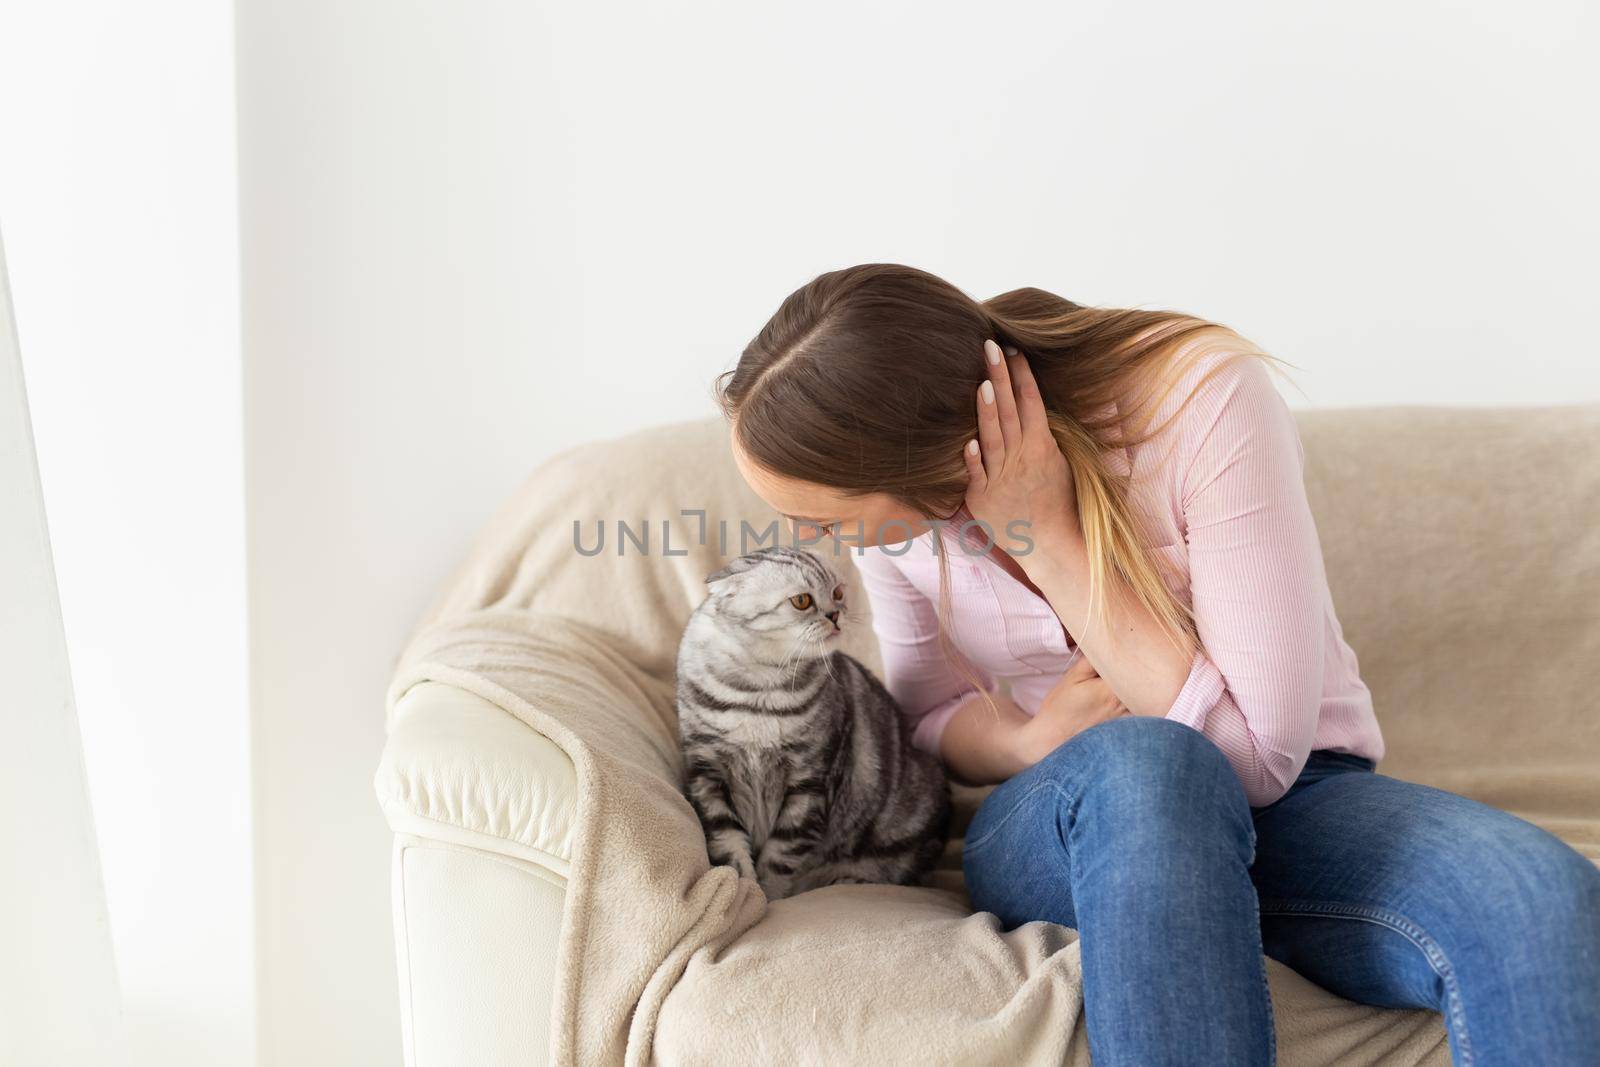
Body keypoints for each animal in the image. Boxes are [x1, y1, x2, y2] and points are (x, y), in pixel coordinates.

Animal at [672, 543, 947, 902]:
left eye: (838, 592)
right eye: (802, 600)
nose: (835, 614)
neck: (761, 690)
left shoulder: (810, 781)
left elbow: (779, 859)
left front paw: (769, 900)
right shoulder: (708, 774)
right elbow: (730, 849)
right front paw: (746, 893)